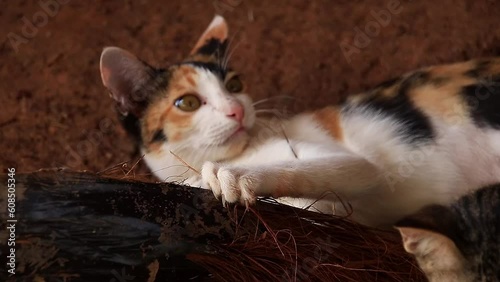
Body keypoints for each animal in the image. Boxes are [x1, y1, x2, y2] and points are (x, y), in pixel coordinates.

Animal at [97, 14, 500, 227]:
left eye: (234, 85)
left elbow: (318, 174)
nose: (236, 109)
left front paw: (232, 177)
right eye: (188, 102)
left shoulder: (354, 170)